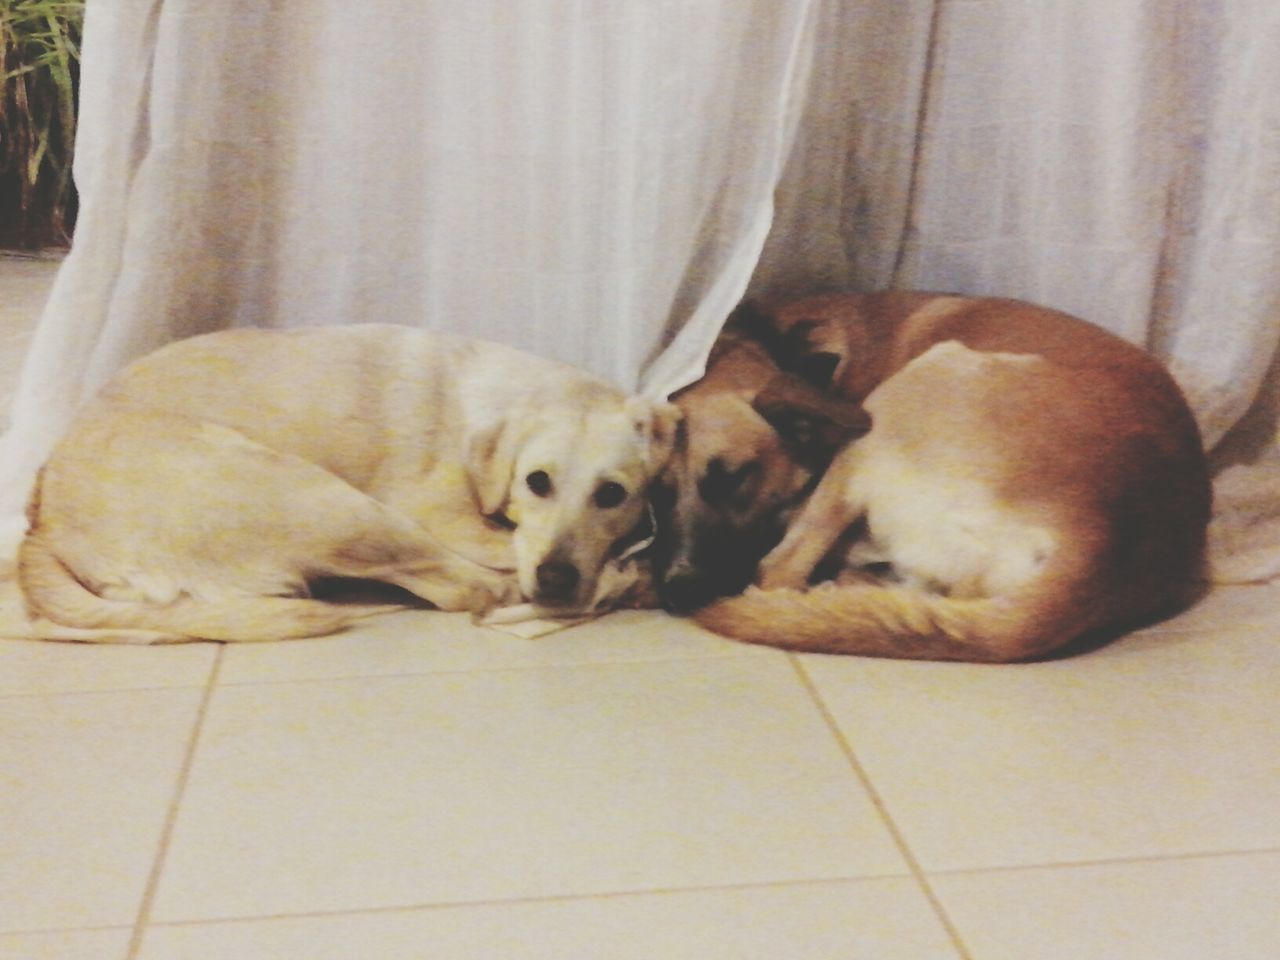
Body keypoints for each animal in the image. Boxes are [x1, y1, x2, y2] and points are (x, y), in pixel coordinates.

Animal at [660, 293, 1208, 665]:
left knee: (779, 570)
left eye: (735, 478)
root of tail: (1103, 543)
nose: (676, 592)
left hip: (913, 387)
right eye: (657, 495)